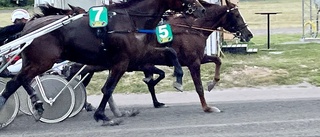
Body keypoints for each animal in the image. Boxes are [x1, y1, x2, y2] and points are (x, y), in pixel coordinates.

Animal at [0, 0, 205, 125]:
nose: (201, 8)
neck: (131, 20)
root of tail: (28, 26)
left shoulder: (139, 56)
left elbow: (171, 52)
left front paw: (178, 79)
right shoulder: (122, 62)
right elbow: (108, 88)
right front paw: (102, 115)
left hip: (35, 61)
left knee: (22, 80)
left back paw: (38, 104)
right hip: (44, 61)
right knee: (14, 83)